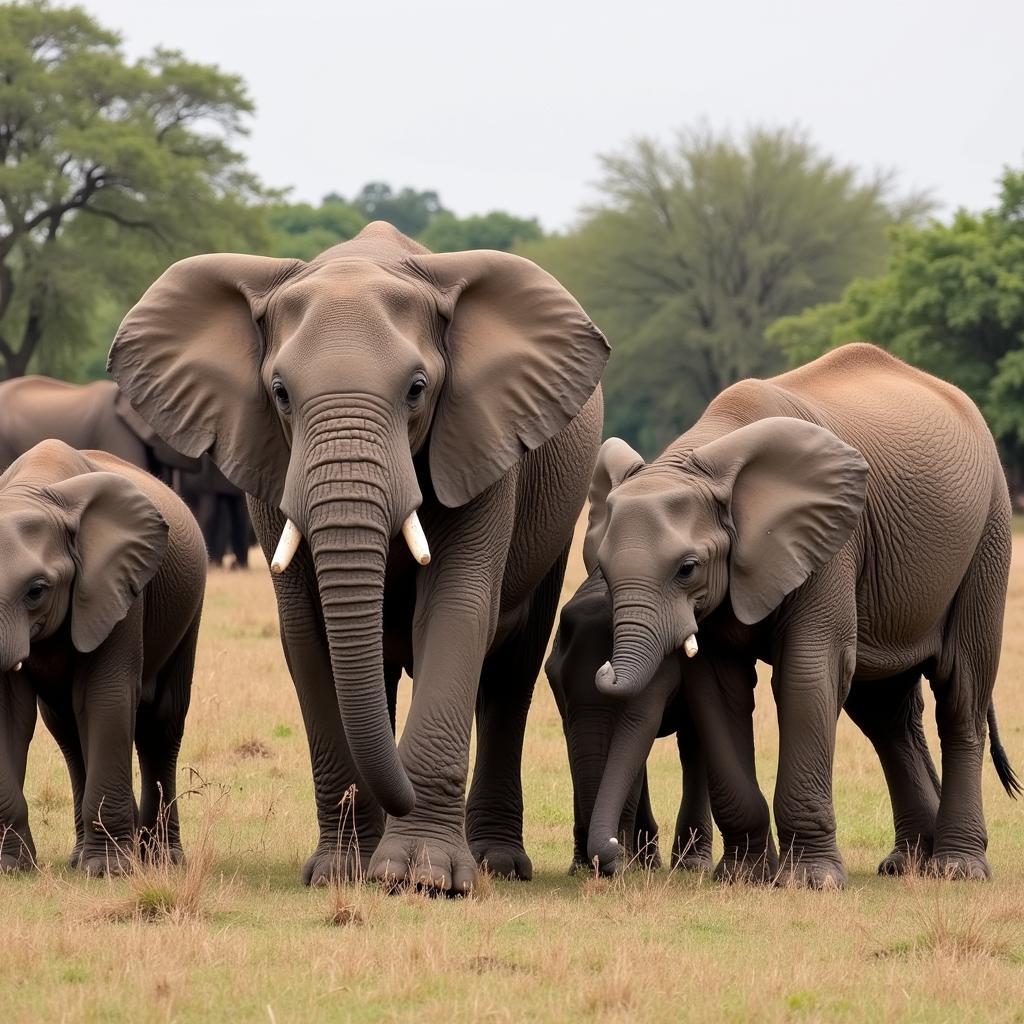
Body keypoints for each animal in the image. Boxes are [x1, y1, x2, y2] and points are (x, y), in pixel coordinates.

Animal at [0, 436, 205, 876]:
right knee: (67, 731)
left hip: (189, 614)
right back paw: (81, 857)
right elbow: (9, 714)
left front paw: (108, 870)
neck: (35, 488)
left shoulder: (118, 586)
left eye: (37, 590)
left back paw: (160, 860)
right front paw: (10, 867)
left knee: (161, 725)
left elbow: (106, 697)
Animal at [109, 222, 610, 888]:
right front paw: (341, 873)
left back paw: (498, 865)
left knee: (511, 672)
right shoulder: (271, 466)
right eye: (280, 393)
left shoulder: (480, 442)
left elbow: (456, 611)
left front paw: (421, 879)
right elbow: (308, 631)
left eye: (418, 390)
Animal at [544, 569, 712, 872]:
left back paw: (691, 864)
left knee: (694, 745)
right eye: (555, 683)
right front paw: (584, 868)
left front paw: (623, 863)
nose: (611, 848)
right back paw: (649, 862)